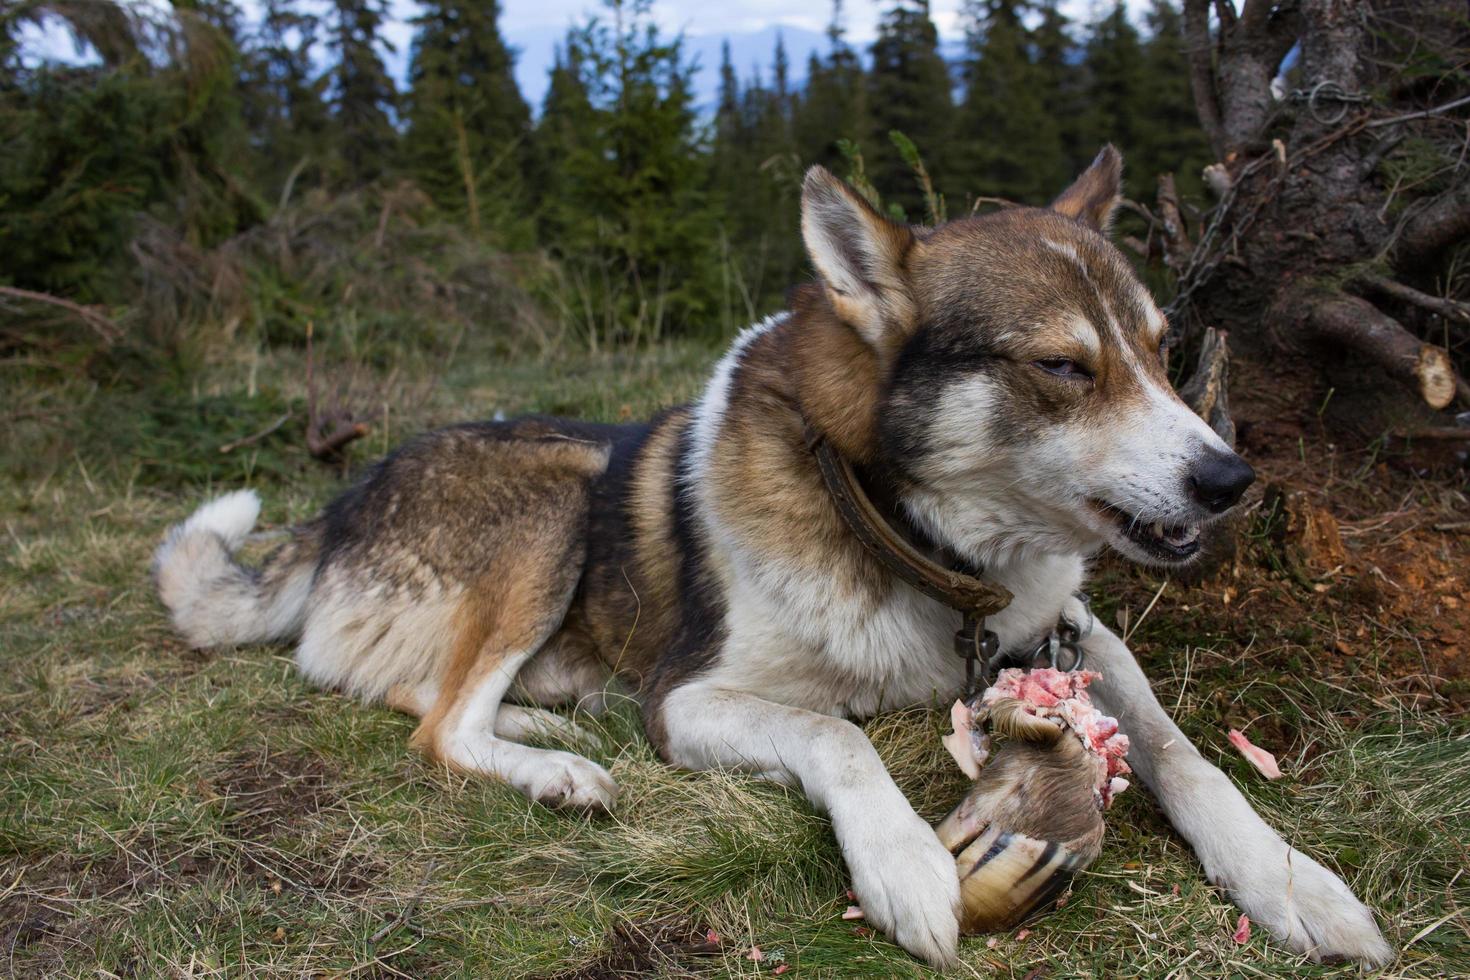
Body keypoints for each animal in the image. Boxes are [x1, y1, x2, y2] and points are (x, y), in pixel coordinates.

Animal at [155, 149, 1393, 969]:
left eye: (1160, 350)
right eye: (1062, 368)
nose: (1231, 479)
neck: (918, 544)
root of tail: (335, 510)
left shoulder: (1074, 636)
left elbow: (1187, 754)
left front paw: (1295, 881)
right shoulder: (691, 697)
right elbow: (837, 733)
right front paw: (903, 862)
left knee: (431, 696)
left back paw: (559, 726)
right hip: (558, 498)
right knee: (438, 724)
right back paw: (560, 769)